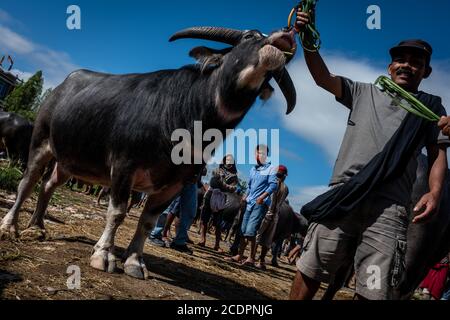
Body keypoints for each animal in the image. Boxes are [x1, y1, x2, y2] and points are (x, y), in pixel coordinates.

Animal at [1, 25, 300, 280]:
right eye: (250, 35)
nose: (285, 37)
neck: (185, 113)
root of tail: (62, 87)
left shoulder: (175, 184)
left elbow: (147, 221)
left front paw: (135, 262)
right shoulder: (124, 167)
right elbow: (118, 212)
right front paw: (104, 256)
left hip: (67, 161)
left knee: (48, 185)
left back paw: (37, 226)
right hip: (41, 142)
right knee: (27, 182)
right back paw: (10, 226)